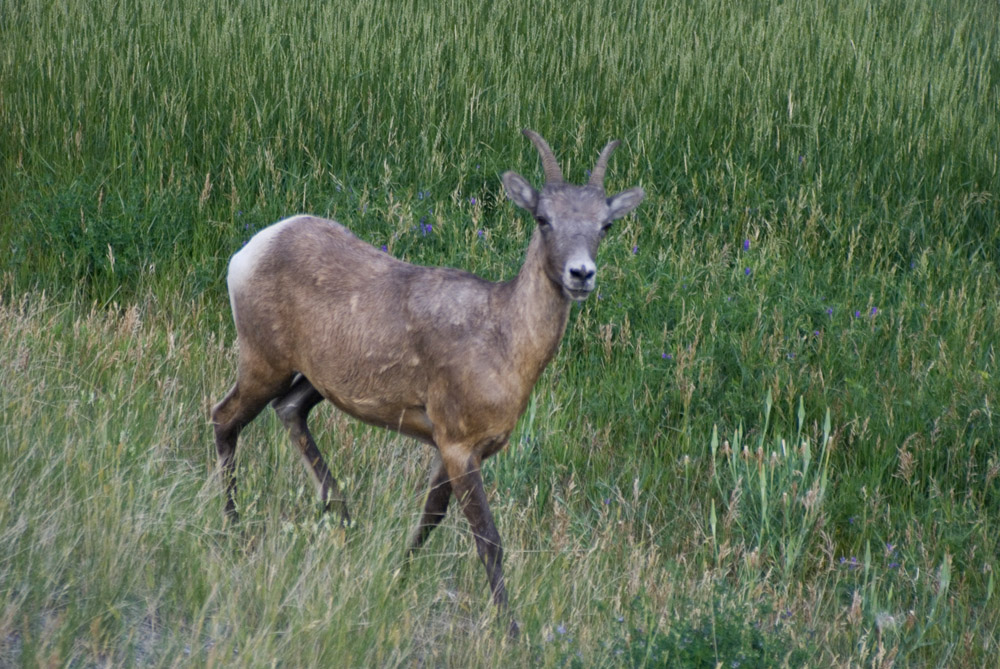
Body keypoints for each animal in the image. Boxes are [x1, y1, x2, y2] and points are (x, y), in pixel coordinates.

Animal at [212, 129, 648, 632]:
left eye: (605, 225)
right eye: (543, 218)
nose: (581, 274)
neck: (504, 343)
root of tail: (249, 252)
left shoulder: (452, 447)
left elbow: (429, 519)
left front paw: (395, 579)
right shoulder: (459, 446)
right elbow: (488, 539)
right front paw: (512, 631)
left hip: (314, 381)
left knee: (288, 410)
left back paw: (344, 520)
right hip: (262, 363)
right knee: (224, 418)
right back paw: (236, 534)